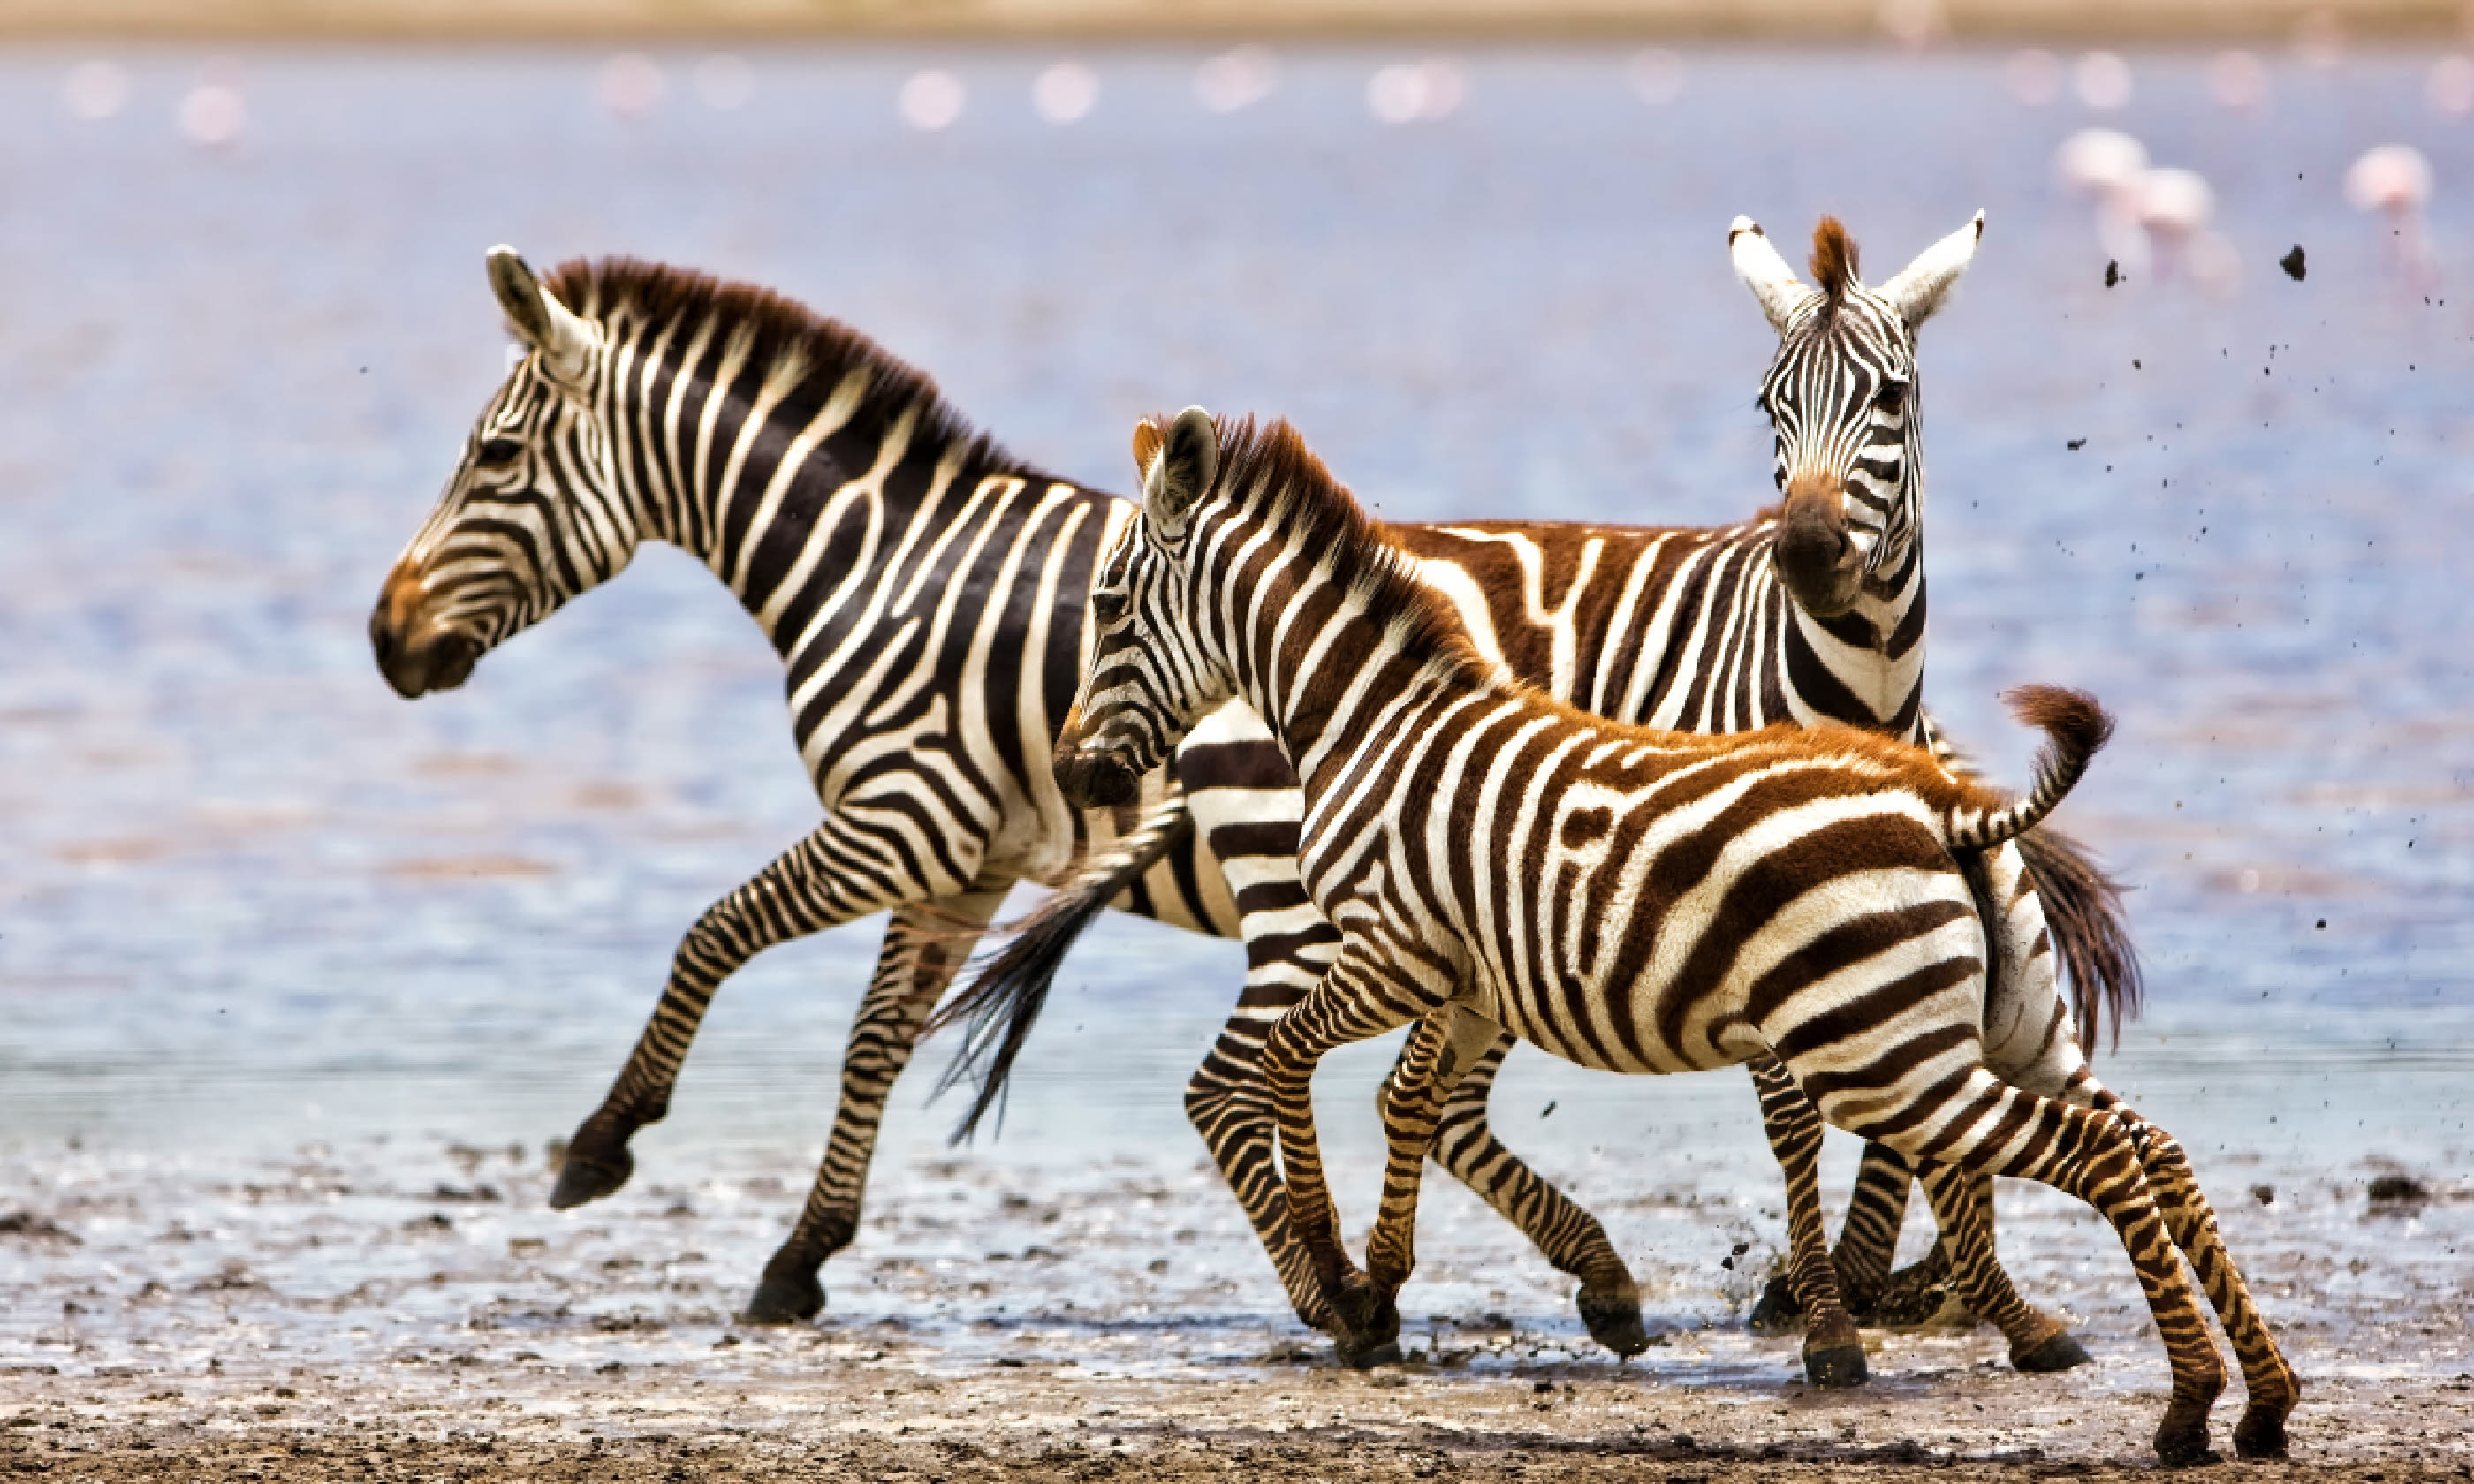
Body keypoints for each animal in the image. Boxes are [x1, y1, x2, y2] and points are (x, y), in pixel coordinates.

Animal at [376, 246, 1751, 1345]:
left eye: (494, 454)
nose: (387, 643)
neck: (881, 562)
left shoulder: (901, 819)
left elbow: (710, 934)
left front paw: (602, 1145)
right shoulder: (961, 864)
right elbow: (874, 1040)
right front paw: (802, 1256)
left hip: (1341, 894)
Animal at [935, 211, 2137, 1365]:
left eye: (1892, 395)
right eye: (1768, 404)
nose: (1805, 552)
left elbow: (1893, 1116)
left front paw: (1866, 1290)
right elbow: (1815, 1117)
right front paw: (1840, 1303)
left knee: (1385, 1096)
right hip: (1325, 917)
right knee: (1255, 1087)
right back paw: (1368, 1297)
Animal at [1049, 400, 2296, 1464]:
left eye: (1107, 609)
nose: (1070, 773)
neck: (1368, 722)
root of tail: (1947, 809)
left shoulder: (1389, 952)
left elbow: (1288, 1064)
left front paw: (1340, 1266)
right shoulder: (1467, 979)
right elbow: (1407, 1102)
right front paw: (1380, 1285)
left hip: (1883, 1055)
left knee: (2097, 1155)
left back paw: (2186, 1408)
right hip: (2009, 1028)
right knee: (2150, 1146)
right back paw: (2262, 1401)